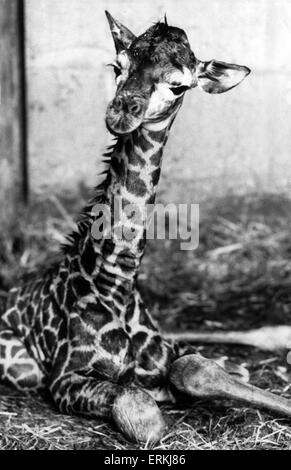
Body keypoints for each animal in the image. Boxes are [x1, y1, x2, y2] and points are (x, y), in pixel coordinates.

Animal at [0, 11, 291, 444]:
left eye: (179, 85)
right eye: (117, 66)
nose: (122, 111)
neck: (116, 282)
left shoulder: (169, 352)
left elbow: (196, 368)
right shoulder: (64, 378)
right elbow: (141, 409)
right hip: (24, 368)